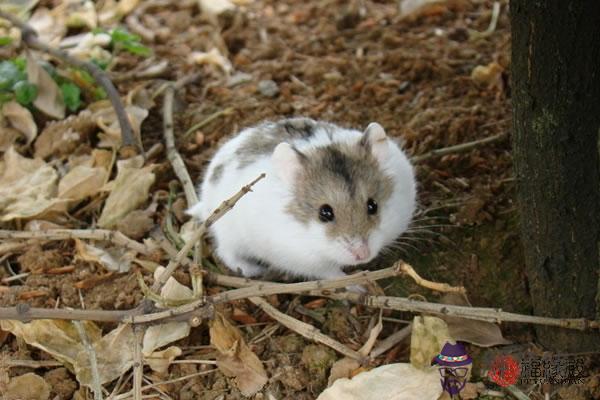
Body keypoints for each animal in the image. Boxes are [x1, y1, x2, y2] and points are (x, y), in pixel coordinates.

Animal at [189, 117, 418, 282]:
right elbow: (332, 274)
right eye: (325, 213)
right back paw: (252, 270)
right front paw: (360, 286)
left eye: (373, 205)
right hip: (228, 233)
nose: (363, 255)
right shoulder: (302, 260)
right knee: (225, 252)